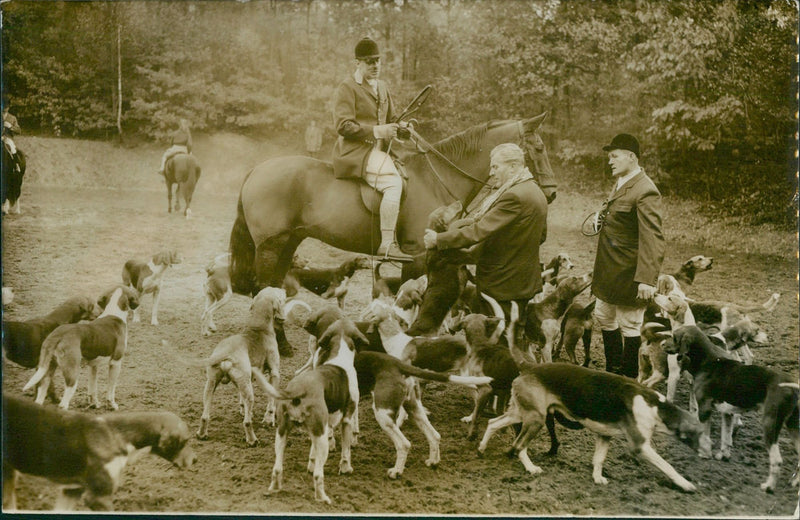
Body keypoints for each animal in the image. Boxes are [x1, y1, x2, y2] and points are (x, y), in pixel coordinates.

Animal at [230, 113, 556, 294]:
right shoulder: (417, 256)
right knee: (263, 288)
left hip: (289, 242)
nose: (552, 193)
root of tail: (257, 169)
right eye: (539, 148)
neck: (436, 179)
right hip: (270, 246)